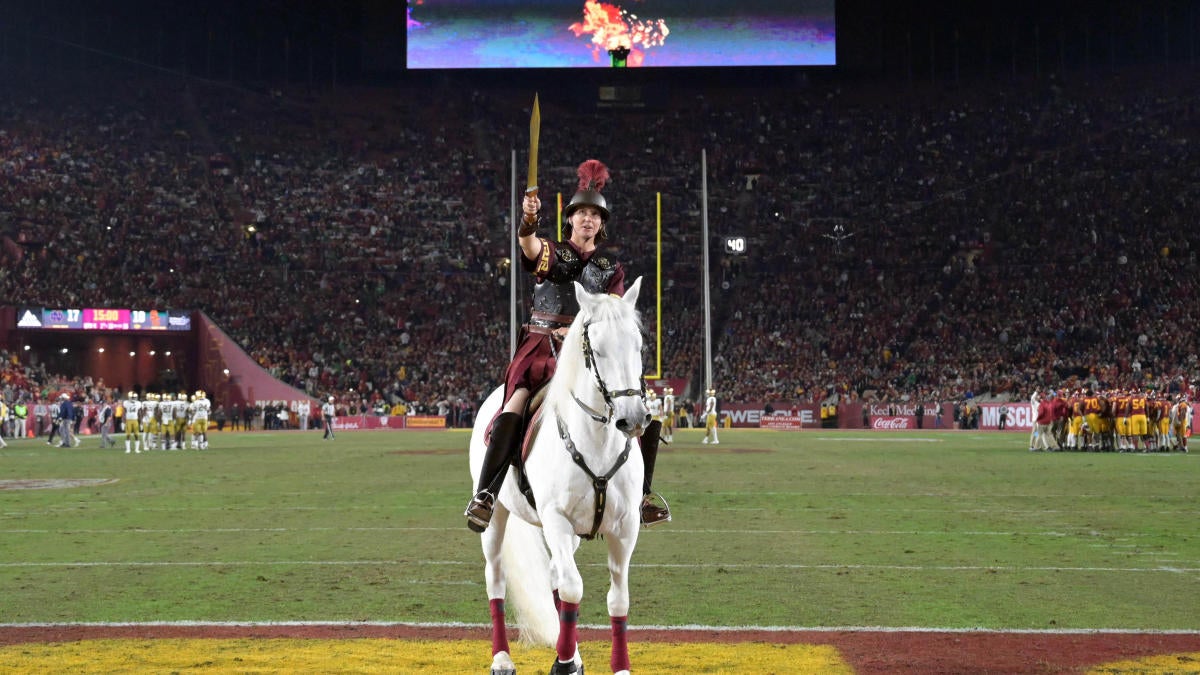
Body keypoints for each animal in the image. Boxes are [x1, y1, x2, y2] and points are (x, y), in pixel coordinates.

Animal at [468, 276, 652, 667]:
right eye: (596, 349)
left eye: (638, 344)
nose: (633, 418)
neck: (596, 441)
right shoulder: (556, 519)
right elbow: (572, 587)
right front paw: (564, 663)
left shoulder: (625, 527)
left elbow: (617, 599)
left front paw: (612, 667)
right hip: (498, 516)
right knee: (497, 579)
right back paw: (502, 658)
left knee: (555, 579)